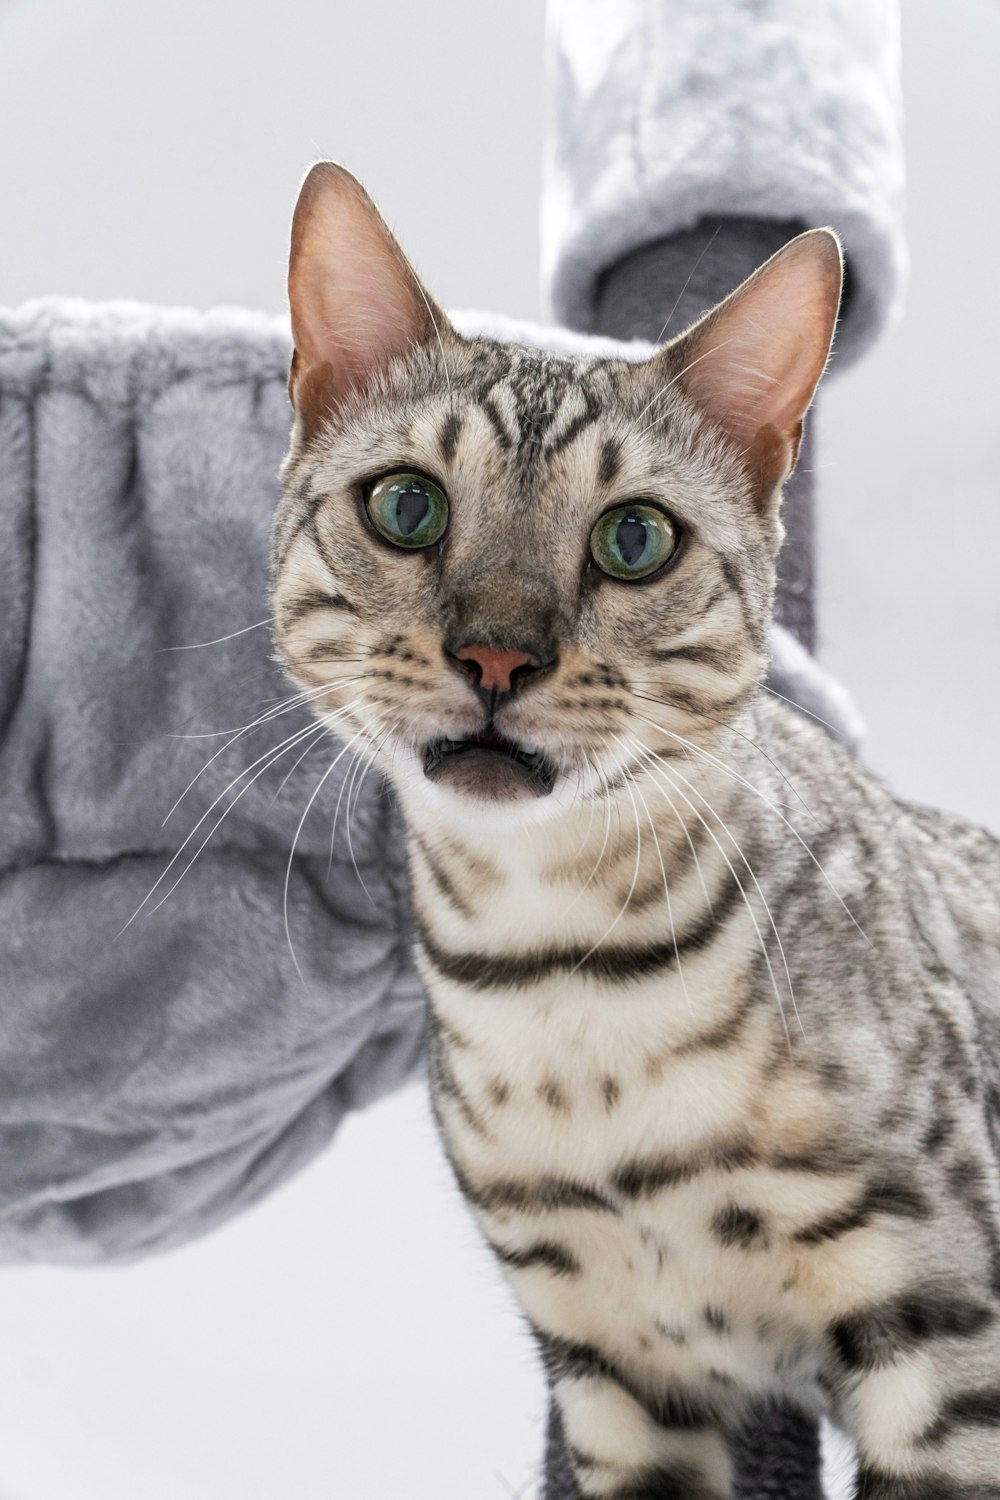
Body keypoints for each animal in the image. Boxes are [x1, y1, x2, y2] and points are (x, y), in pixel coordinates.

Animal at [268, 158, 1000, 1494]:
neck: (566, 978)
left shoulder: (941, 1321)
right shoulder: (612, 1362)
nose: (496, 654)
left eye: (634, 538)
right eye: (405, 506)